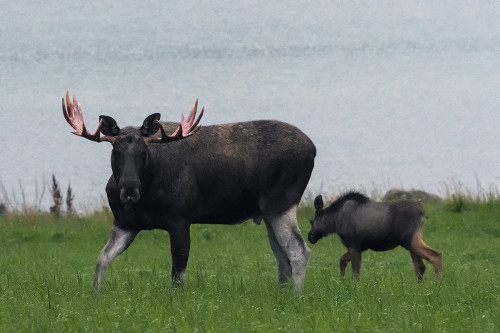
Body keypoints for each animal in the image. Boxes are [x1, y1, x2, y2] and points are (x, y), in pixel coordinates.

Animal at [60, 92, 314, 290]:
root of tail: (313, 148)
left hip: (281, 203)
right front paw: (96, 294)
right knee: (282, 257)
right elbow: (101, 260)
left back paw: (296, 295)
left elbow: (178, 274)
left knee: (299, 251)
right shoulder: (125, 223)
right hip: (268, 213)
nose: (129, 189)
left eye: (144, 151)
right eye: (116, 151)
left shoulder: (180, 219)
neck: (148, 194)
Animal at [308, 192, 442, 280]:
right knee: (420, 266)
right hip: (411, 242)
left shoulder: (354, 245)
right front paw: (342, 279)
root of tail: (422, 212)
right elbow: (342, 260)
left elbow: (356, 273)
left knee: (435, 255)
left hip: (410, 240)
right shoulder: (360, 247)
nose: (310, 236)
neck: (334, 221)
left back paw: (438, 285)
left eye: (311, 221)